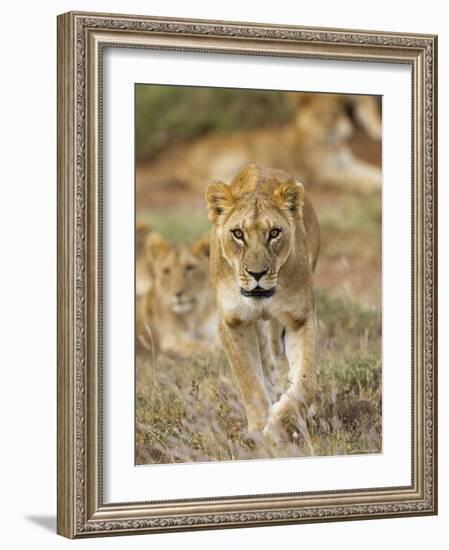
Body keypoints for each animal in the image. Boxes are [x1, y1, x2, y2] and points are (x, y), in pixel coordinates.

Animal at [205, 162, 320, 442]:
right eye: (238, 234)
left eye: (274, 233)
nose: (257, 274)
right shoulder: (232, 323)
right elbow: (248, 380)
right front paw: (259, 429)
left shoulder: (301, 318)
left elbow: (305, 381)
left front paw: (279, 424)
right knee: (265, 361)